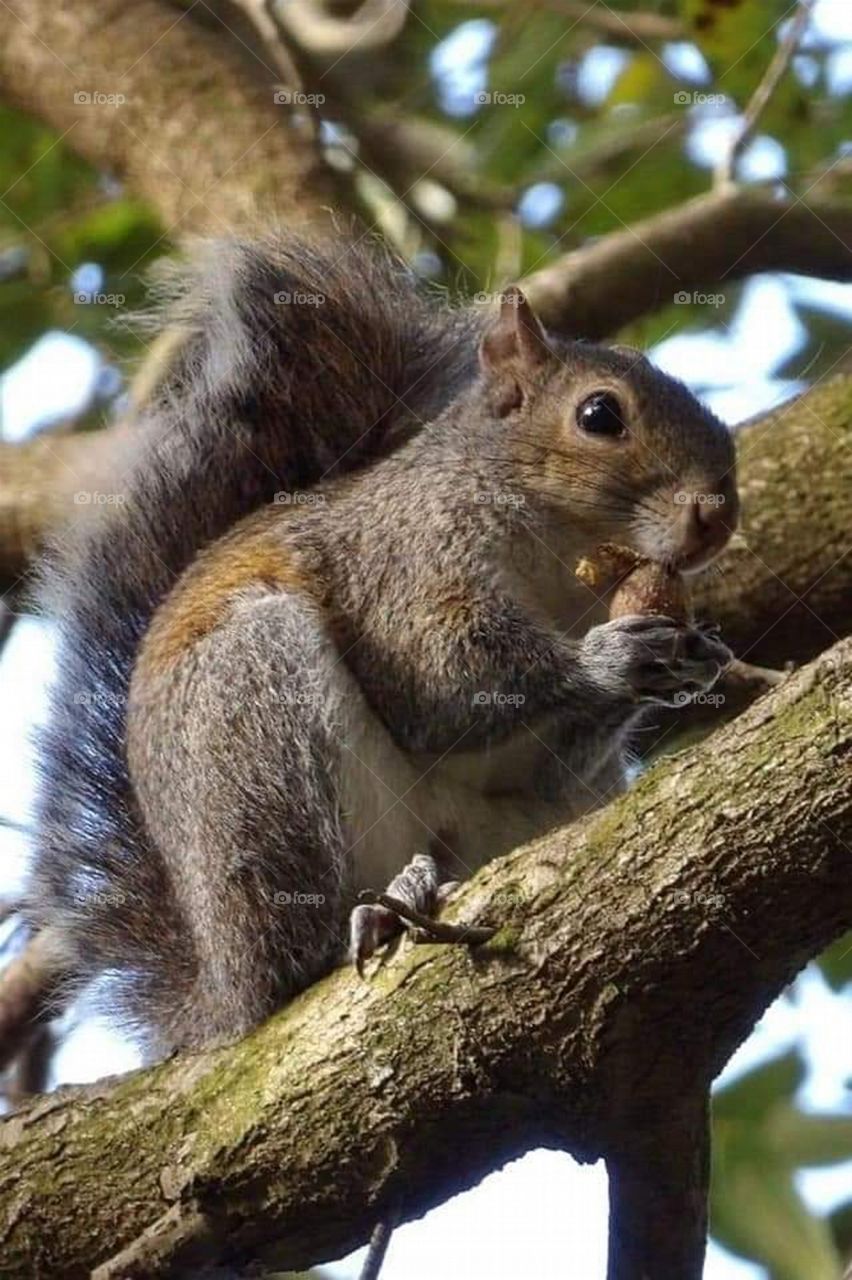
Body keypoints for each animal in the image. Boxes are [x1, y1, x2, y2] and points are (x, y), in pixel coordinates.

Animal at [27, 232, 738, 1058]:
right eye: (600, 415)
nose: (719, 512)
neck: (566, 559)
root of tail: (223, 988)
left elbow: (550, 756)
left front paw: (692, 660)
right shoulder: (404, 568)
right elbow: (440, 682)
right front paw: (607, 661)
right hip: (254, 728)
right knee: (296, 953)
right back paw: (365, 918)